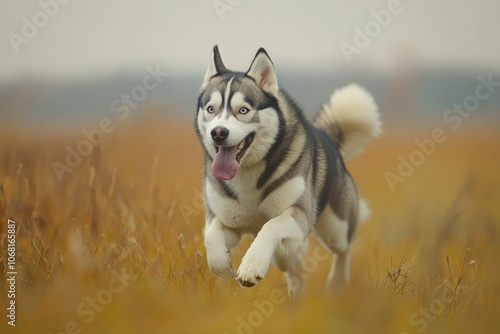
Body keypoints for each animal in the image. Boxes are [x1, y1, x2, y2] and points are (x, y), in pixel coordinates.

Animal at [195, 45, 382, 298]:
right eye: (211, 109)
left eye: (243, 110)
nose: (218, 133)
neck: (247, 172)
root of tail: (329, 139)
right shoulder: (226, 222)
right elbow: (211, 235)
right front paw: (222, 266)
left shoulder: (300, 216)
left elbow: (270, 225)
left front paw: (251, 266)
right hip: (284, 252)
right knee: (296, 269)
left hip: (336, 228)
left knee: (343, 251)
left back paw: (337, 285)